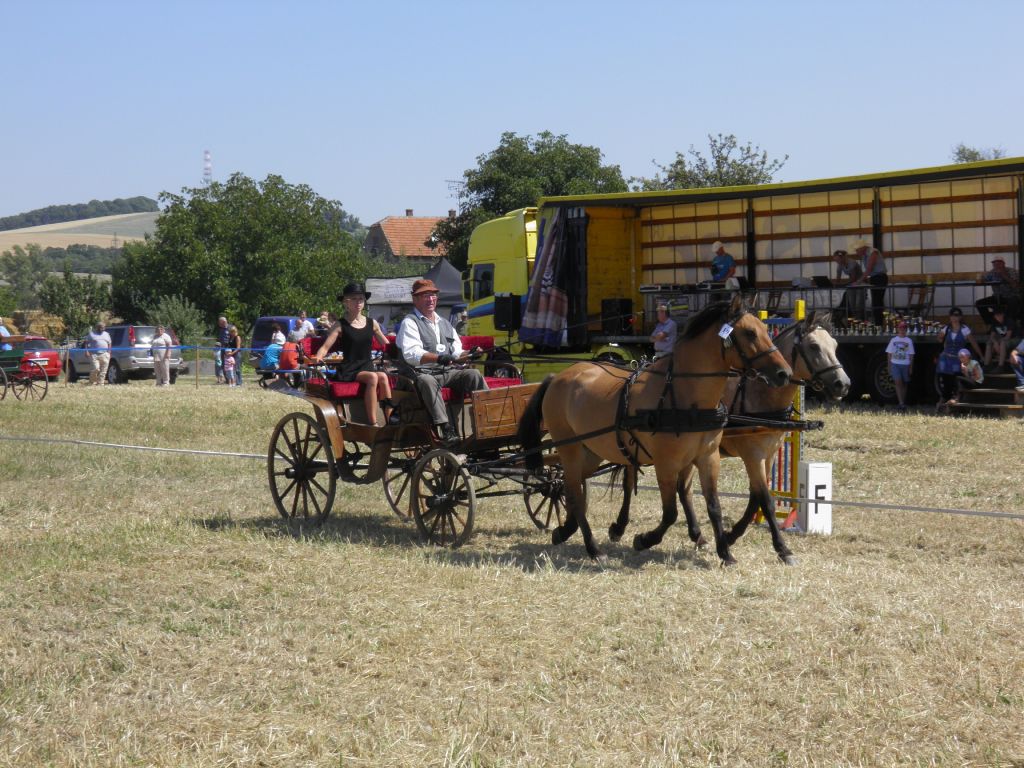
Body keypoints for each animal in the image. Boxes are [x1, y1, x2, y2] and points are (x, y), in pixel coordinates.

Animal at [517, 296, 792, 564]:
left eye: (765, 329)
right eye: (749, 333)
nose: (784, 373)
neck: (685, 394)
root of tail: (558, 377)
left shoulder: (708, 457)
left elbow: (714, 505)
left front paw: (726, 552)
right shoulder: (667, 462)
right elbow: (670, 512)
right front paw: (644, 540)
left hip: (591, 452)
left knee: (571, 489)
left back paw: (564, 531)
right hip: (570, 448)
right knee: (574, 493)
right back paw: (594, 549)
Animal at [606, 312, 850, 565]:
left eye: (835, 345)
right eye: (813, 346)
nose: (843, 384)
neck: (759, 395)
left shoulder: (769, 455)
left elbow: (755, 499)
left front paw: (731, 536)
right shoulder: (752, 455)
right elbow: (766, 501)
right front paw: (783, 549)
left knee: (683, 490)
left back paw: (698, 536)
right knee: (629, 482)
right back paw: (619, 527)